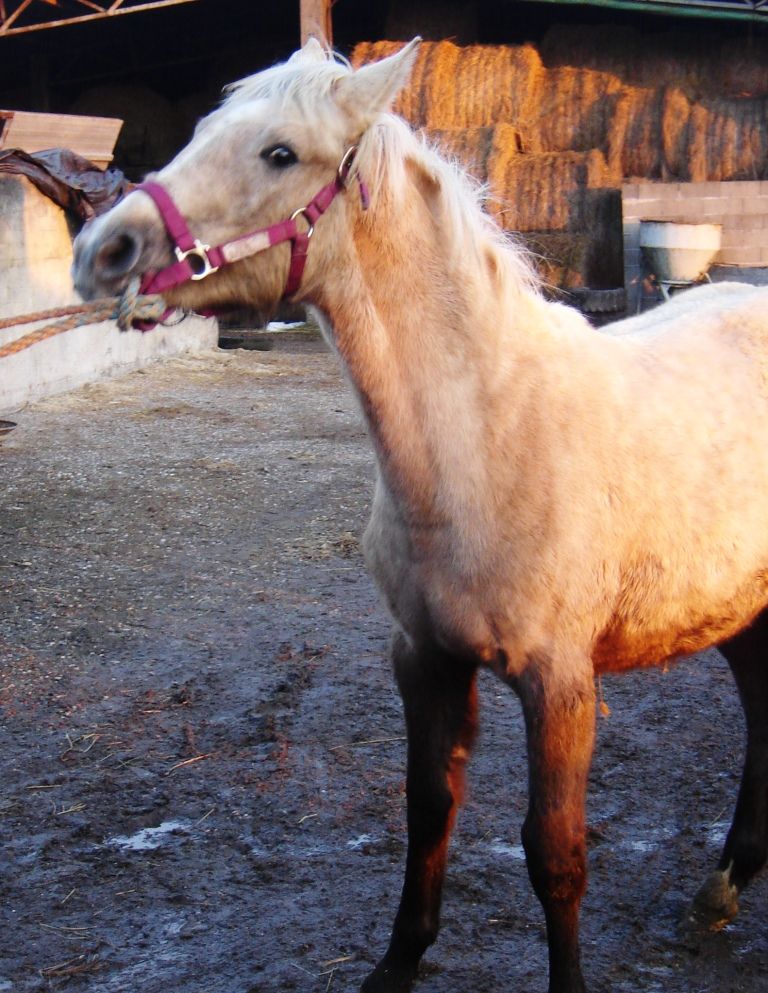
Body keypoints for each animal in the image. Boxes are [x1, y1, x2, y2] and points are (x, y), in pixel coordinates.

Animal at [72, 39, 768, 993]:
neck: (487, 433)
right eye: (206, 127)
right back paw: (724, 883)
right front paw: (395, 966)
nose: (103, 249)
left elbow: (555, 855)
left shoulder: (560, 682)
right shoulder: (425, 658)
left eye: (280, 152)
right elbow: (428, 809)